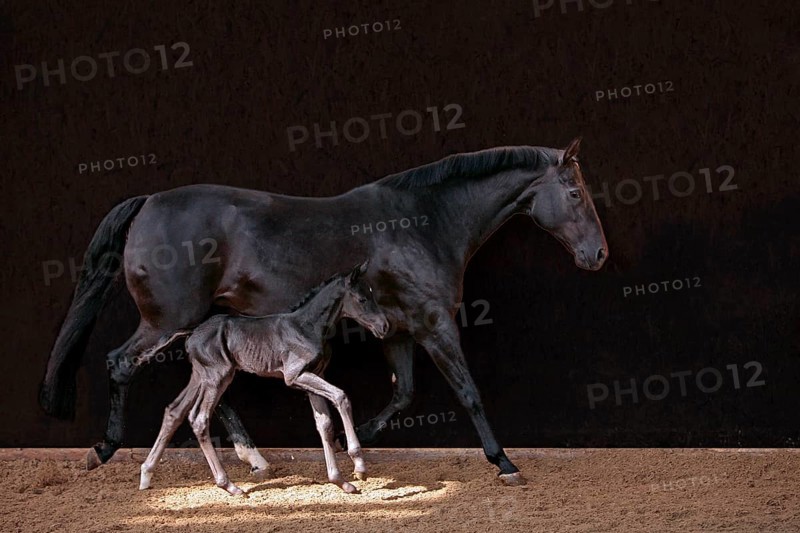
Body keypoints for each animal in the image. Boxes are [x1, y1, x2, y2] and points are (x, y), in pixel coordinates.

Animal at [138, 261, 389, 495]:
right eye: (362, 299)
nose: (384, 326)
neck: (307, 327)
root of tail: (192, 332)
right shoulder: (295, 375)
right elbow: (341, 396)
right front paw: (359, 466)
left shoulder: (314, 375)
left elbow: (324, 424)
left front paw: (340, 480)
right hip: (218, 377)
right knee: (199, 418)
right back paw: (229, 485)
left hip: (201, 376)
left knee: (175, 411)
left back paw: (146, 474)